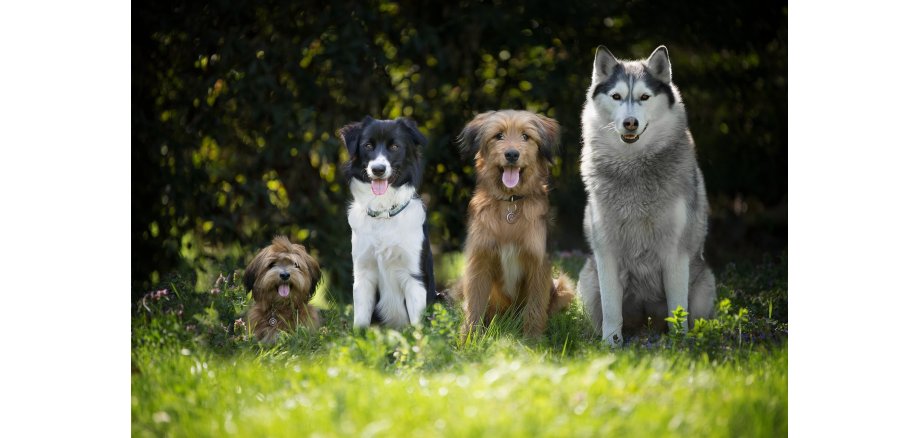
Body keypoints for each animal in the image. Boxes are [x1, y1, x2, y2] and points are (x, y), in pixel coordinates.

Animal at [338, 116, 438, 328]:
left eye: (394, 146)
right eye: (368, 145)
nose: (378, 169)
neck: (384, 213)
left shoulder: (414, 276)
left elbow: (417, 325)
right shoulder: (363, 273)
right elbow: (361, 320)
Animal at [452, 109, 576, 338]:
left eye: (526, 136)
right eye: (499, 135)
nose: (511, 154)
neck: (510, 203)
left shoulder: (538, 263)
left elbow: (535, 307)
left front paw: (532, 340)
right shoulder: (479, 261)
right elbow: (474, 306)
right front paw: (468, 339)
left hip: (563, 286)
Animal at [580, 43, 716, 346]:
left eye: (644, 97)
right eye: (617, 97)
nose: (630, 123)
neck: (633, 168)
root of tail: (645, 325)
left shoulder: (674, 252)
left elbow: (677, 309)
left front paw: (679, 345)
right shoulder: (606, 252)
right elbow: (611, 310)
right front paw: (610, 345)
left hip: (705, 283)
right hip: (588, 279)